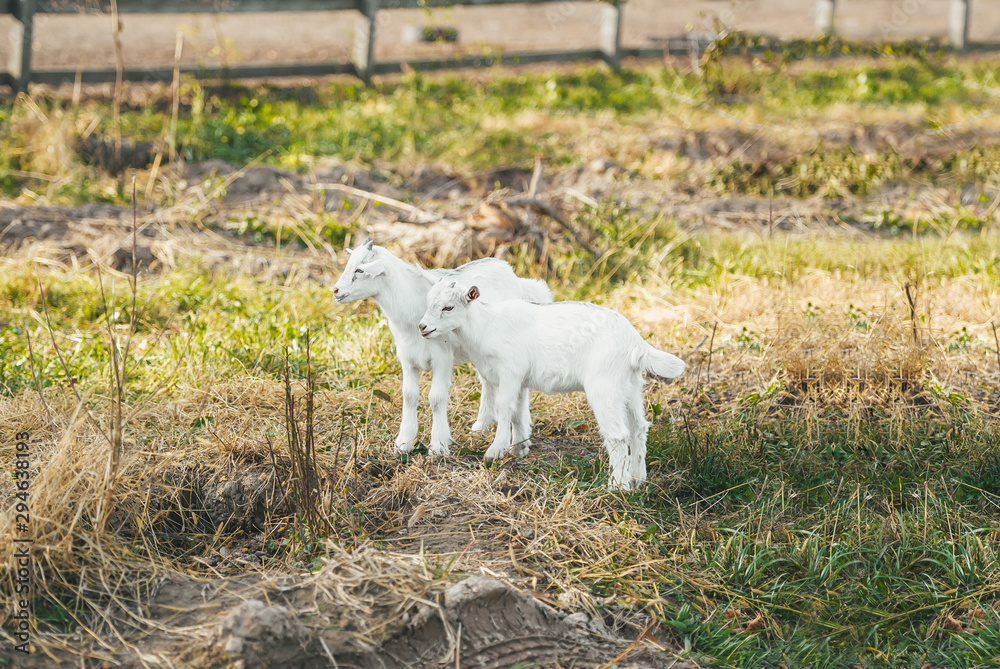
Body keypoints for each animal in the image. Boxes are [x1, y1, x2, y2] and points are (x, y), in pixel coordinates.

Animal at [333, 239, 553, 456]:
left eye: (360, 269)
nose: (335, 291)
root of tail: (516, 277)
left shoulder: (442, 358)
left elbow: (436, 398)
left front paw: (439, 445)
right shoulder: (407, 357)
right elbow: (409, 395)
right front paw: (404, 442)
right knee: (487, 382)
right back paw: (481, 425)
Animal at [418, 280, 685, 490]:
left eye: (448, 307)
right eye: (429, 302)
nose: (422, 327)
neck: (486, 326)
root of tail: (635, 342)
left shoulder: (510, 371)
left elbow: (504, 408)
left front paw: (495, 451)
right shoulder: (519, 379)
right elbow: (517, 411)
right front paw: (519, 449)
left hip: (604, 387)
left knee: (618, 435)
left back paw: (617, 487)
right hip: (630, 387)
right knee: (639, 428)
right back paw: (638, 480)